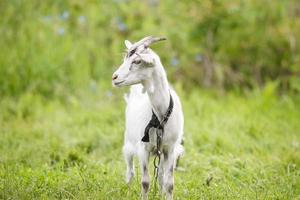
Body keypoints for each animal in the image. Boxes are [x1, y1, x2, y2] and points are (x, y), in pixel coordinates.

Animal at [112, 36, 184, 200]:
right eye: (125, 58)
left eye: (137, 61)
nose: (114, 77)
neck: (160, 116)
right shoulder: (143, 148)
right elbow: (145, 182)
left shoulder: (170, 149)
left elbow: (169, 183)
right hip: (129, 144)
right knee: (130, 172)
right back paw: (128, 190)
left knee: (161, 175)